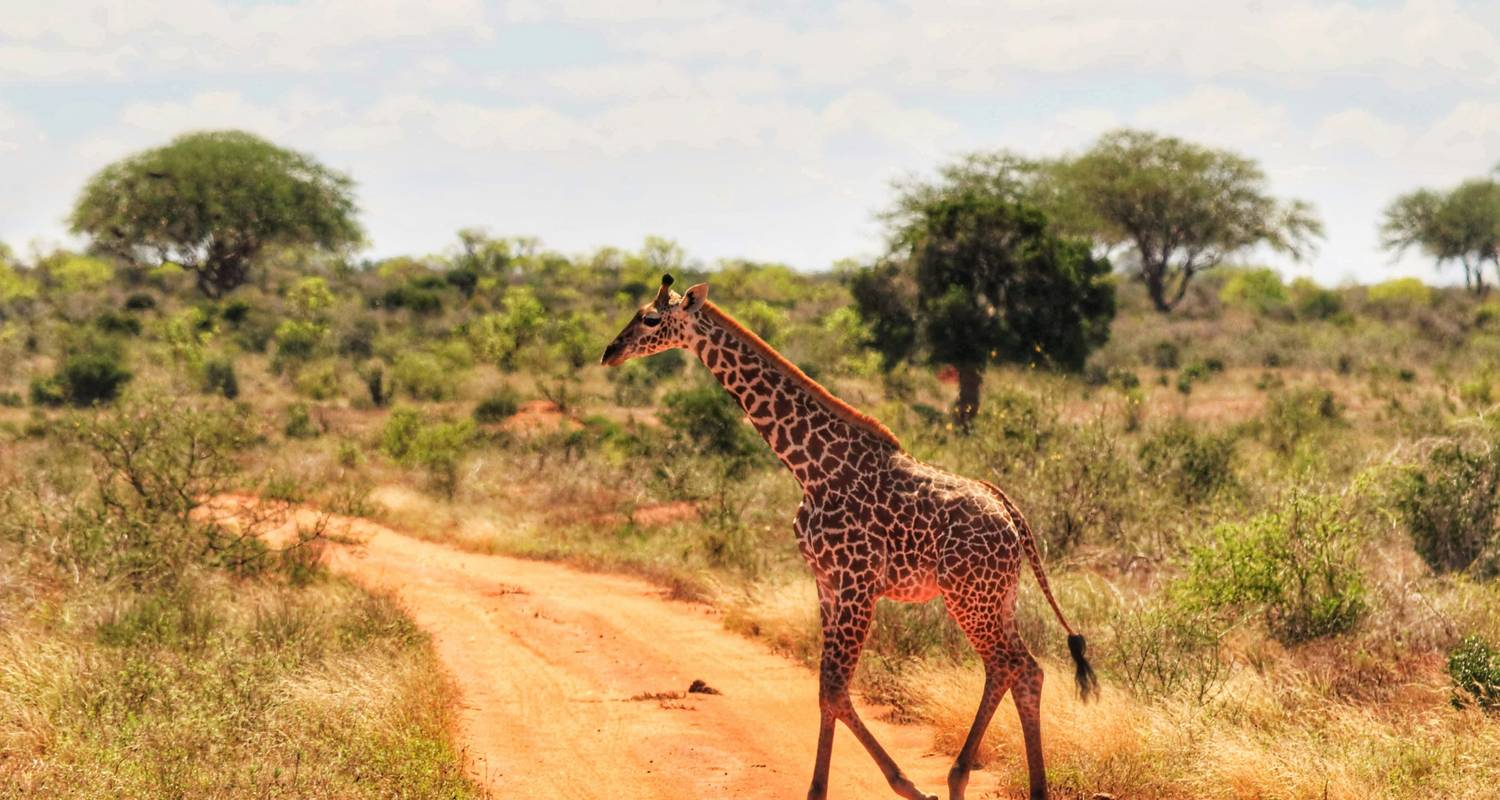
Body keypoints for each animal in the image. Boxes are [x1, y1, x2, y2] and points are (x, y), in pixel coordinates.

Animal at [600, 276, 1104, 798]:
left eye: (651, 319)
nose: (609, 352)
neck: (809, 468)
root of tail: (1011, 515)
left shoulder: (857, 584)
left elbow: (837, 689)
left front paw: (904, 786)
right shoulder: (825, 583)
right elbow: (828, 691)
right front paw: (826, 790)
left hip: (969, 597)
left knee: (1007, 665)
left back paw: (958, 777)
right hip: (999, 596)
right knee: (1026, 668)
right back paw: (1019, 785)